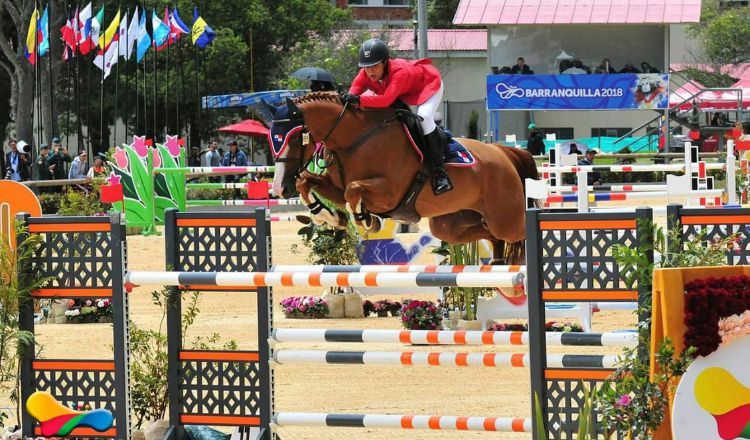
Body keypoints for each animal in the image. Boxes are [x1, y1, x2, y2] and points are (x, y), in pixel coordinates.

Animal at [272, 92, 540, 262]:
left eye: (294, 138)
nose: (280, 189)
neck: (355, 140)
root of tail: (503, 152)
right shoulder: (335, 187)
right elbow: (307, 182)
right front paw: (331, 217)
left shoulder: (389, 193)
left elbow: (353, 190)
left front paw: (367, 220)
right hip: (450, 225)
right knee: (490, 234)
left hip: (507, 219)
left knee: (515, 232)